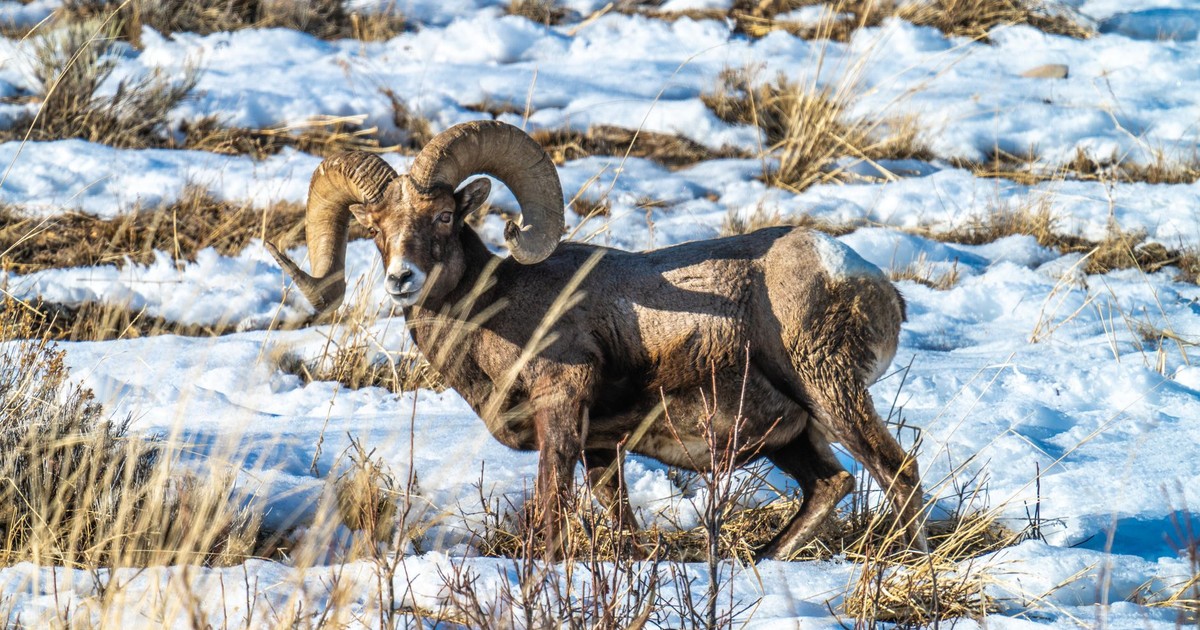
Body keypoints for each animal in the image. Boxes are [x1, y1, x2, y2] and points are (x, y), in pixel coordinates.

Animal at [266, 120, 927, 560]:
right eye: (376, 229)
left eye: (444, 219)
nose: (402, 279)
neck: (492, 313)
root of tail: (868, 281)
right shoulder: (603, 448)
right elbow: (621, 521)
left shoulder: (561, 412)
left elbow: (553, 509)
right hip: (789, 432)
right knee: (831, 485)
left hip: (829, 396)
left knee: (898, 473)